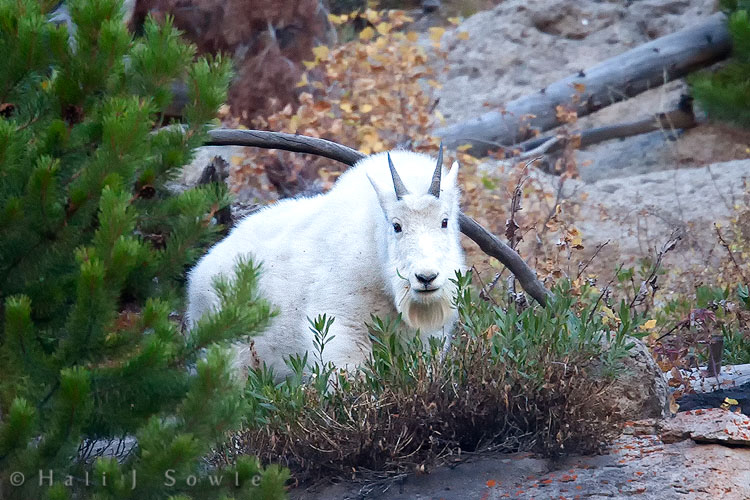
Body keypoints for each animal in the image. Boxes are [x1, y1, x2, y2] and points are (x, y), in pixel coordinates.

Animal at [186, 147, 465, 379]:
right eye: (397, 226)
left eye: (444, 221)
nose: (426, 278)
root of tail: (197, 275)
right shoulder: (341, 327)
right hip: (229, 354)